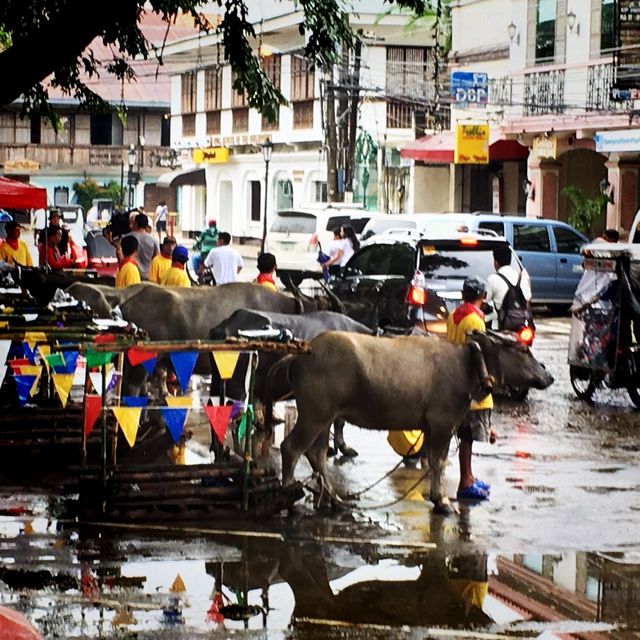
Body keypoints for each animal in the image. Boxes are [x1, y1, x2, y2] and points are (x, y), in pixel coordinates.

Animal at [266, 330, 556, 516]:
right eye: (523, 350)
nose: (549, 376)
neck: (467, 366)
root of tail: (302, 355)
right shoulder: (442, 423)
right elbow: (438, 462)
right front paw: (442, 502)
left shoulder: (432, 427)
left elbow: (433, 460)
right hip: (314, 414)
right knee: (291, 448)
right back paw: (290, 501)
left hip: (324, 417)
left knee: (316, 454)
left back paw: (333, 499)